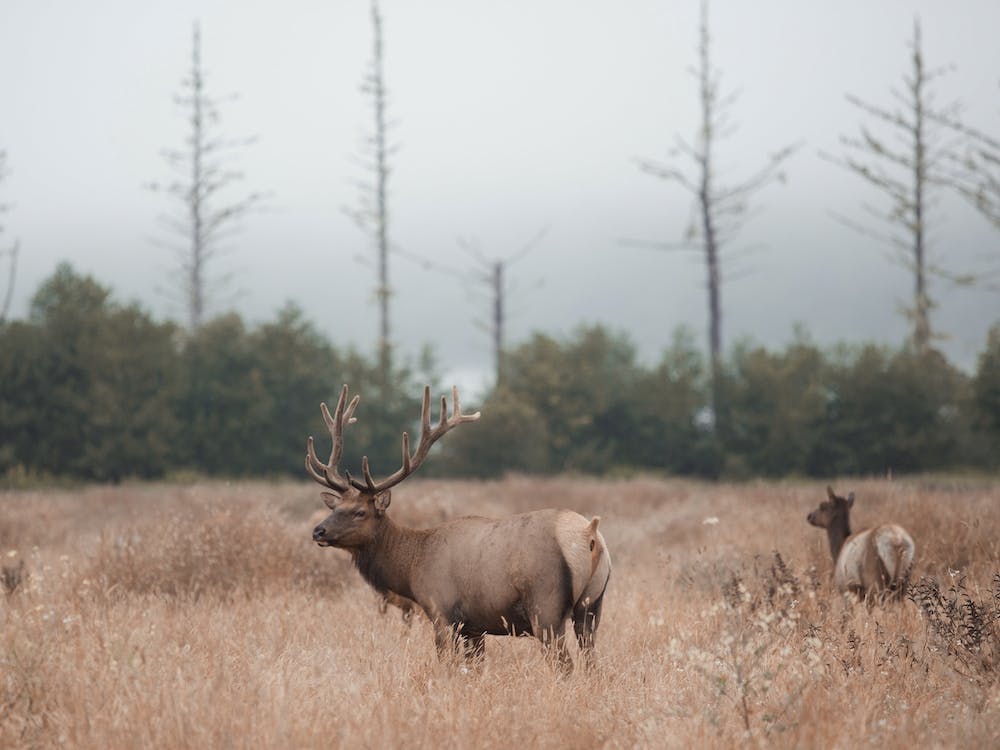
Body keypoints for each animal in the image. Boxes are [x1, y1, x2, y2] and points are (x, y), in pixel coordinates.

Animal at [307, 384, 612, 671]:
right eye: (335, 508)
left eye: (360, 512)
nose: (318, 531)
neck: (412, 567)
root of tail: (589, 533)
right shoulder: (474, 627)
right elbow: (475, 667)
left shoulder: (441, 611)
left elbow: (448, 665)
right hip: (592, 606)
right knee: (592, 662)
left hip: (546, 606)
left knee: (565, 664)